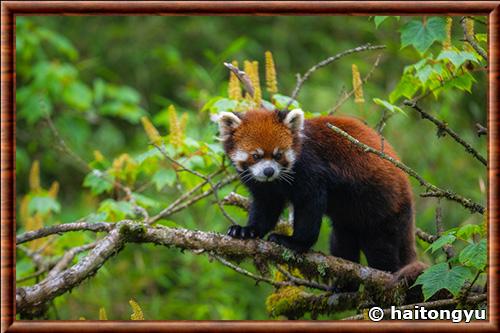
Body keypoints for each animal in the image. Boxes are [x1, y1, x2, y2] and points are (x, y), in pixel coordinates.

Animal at [215, 107, 426, 284]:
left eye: (278, 155)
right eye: (256, 156)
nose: (268, 171)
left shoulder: (311, 168)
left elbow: (310, 205)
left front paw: (296, 243)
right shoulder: (263, 187)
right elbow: (265, 207)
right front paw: (247, 231)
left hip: (384, 210)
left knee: (381, 250)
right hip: (349, 221)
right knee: (342, 241)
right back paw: (343, 287)